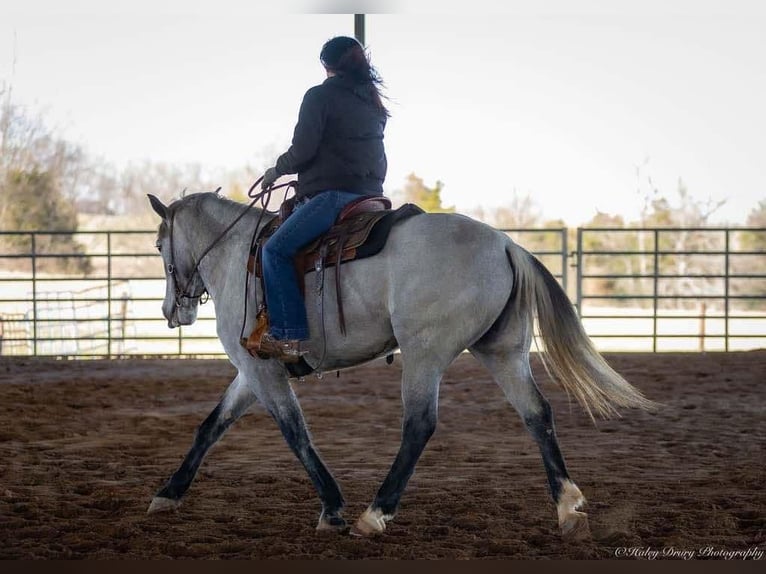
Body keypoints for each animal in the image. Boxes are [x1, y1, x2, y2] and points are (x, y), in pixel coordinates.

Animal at [146, 192, 656, 540]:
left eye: (157, 244)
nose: (173, 310)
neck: (238, 255)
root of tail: (504, 245)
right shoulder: (250, 373)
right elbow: (211, 426)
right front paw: (168, 493)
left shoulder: (262, 370)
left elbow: (295, 433)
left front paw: (333, 509)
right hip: (503, 352)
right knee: (537, 414)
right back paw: (567, 505)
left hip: (424, 353)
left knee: (420, 424)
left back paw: (375, 514)